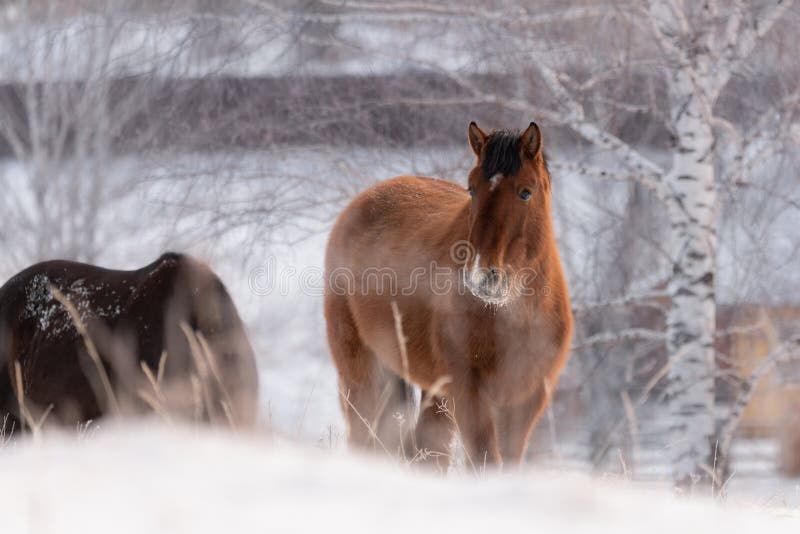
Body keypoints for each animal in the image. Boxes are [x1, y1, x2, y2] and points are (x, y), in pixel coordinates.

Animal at [322, 121, 572, 468]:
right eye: (471, 188)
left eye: (526, 191)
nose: (483, 276)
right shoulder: (469, 395)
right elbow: (485, 461)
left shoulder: (526, 400)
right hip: (363, 372)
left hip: (433, 394)